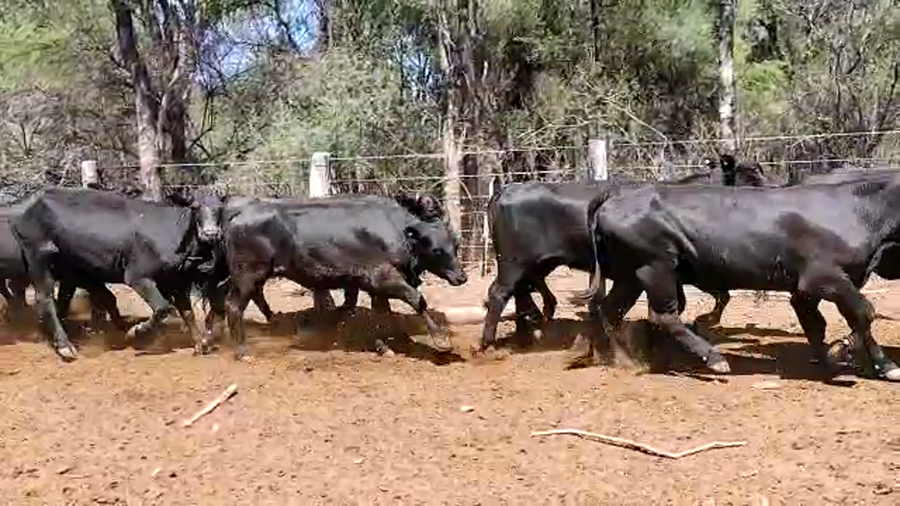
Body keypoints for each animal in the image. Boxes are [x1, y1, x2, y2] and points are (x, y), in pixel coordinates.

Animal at [11, 187, 226, 361]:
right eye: (195, 207)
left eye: (220, 208)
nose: (210, 233)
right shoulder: (138, 277)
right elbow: (162, 308)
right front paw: (137, 331)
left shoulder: (176, 282)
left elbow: (188, 313)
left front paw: (200, 345)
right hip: (39, 259)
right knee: (46, 299)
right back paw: (66, 347)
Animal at [217, 195, 466, 360]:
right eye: (436, 249)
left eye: (455, 245)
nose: (461, 277)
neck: (396, 231)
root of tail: (239, 213)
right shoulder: (383, 278)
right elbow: (417, 300)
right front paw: (441, 340)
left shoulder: (374, 288)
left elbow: (382, 314)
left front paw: (386, 345)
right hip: (248, 275)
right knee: (233, 306)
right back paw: (242, 351)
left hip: (254, 277)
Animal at [477, 156, 771, 353]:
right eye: (753, 176)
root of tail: (507, 189)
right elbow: (717, 297)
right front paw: (702, 321)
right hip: (514, 262)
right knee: (499, 293)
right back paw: (489, 344)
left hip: (536, 263)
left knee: (521, 292)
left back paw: (530, 329)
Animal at [570, 174, 900, 382]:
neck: (858, 210)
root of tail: (617, 194)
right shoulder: (823, 278)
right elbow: (864, 312)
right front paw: (843, 351)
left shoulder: (810, 290)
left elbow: (822, 324)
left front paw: (875, 365)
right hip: (656, 266)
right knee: (663, 316)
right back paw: (715, 360)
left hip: (631, 275)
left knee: (608, 309)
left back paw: (611, 357)